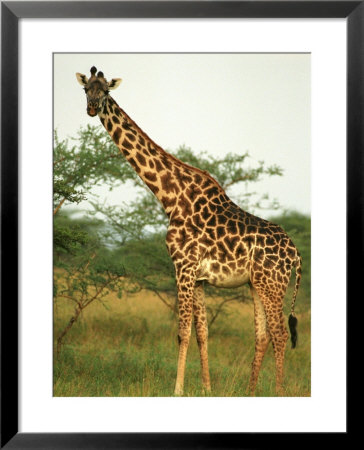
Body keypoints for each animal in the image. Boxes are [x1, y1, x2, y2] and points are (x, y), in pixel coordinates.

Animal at [76, 65, 302, 396]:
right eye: (85, 90)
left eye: (105, 91)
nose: (92, 108)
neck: (170, 196)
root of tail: (296, 254)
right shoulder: (198, 277)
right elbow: (202, 333)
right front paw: (206, 388)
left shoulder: (182, 267)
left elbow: (182, 331)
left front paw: (177, 390)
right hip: (257, 284)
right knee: (262, 335)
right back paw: (250, 391)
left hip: (273, 284)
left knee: (280, 334)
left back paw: (279, 391)